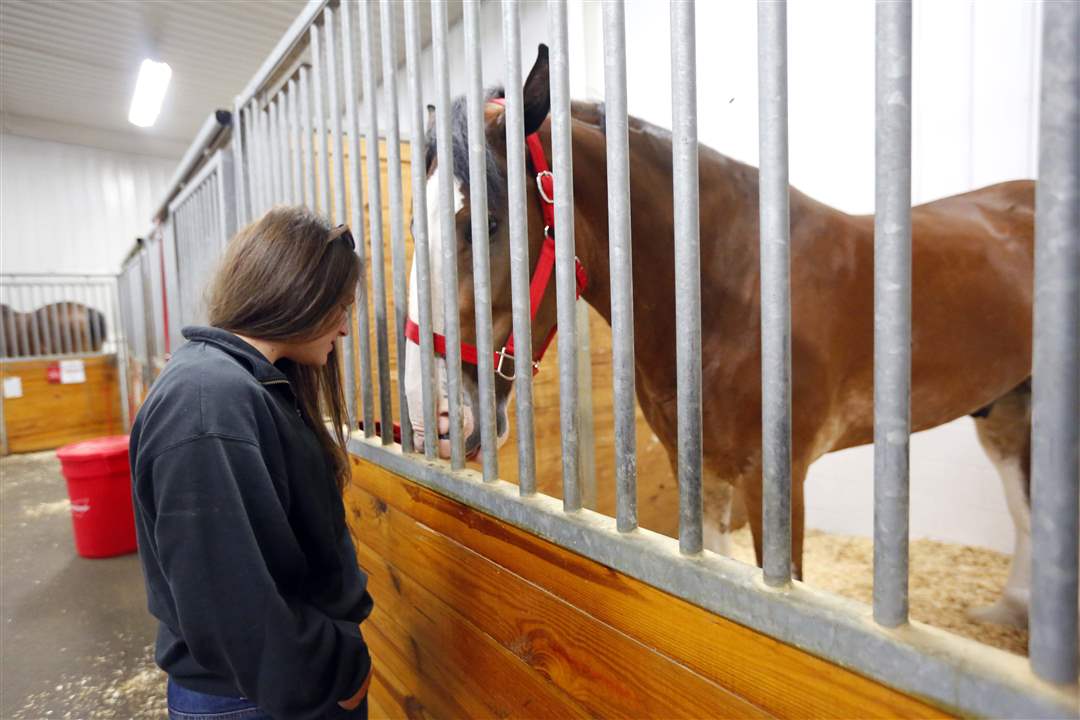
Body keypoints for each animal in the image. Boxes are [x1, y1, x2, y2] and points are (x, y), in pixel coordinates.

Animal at [401, 47, 1032, 626]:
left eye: (487, 223)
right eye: (413, 224)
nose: (430, 416)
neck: (733, 291)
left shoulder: (777, 483)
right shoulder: (700, 470)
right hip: (1004, 412)